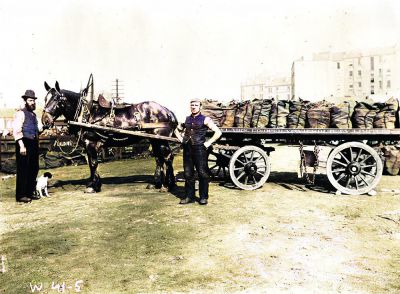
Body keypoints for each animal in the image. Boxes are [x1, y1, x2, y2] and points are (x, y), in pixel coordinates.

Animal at [41, 80, 177, 193]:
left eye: (57, 98)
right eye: (46, 98)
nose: (45, 120)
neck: (87, 114)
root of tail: (167, 111)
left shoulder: (91, 143)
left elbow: (93, 163)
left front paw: (92, 186)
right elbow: (91, 163)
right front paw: (95, 183)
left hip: (161, 139)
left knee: (168, 157)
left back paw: (168, 185)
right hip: (154, 140)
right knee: (159, 159)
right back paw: (156, 184)